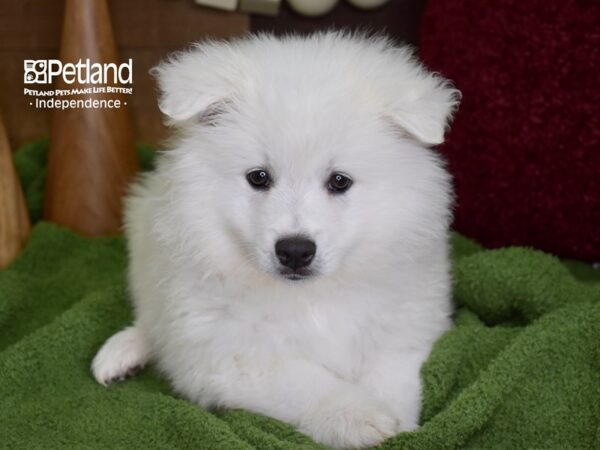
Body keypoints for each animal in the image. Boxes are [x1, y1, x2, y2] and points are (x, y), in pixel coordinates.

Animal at [91, 32, 460, 450]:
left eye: (339, 181)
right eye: (259, 177)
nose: (295, 251)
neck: (312, 297)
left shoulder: (405, 330)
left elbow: (390, 378)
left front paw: (398, 424)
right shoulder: (230, 354)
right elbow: (307, 383)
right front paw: (360, 418)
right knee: (152, 317)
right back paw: (123, 350)